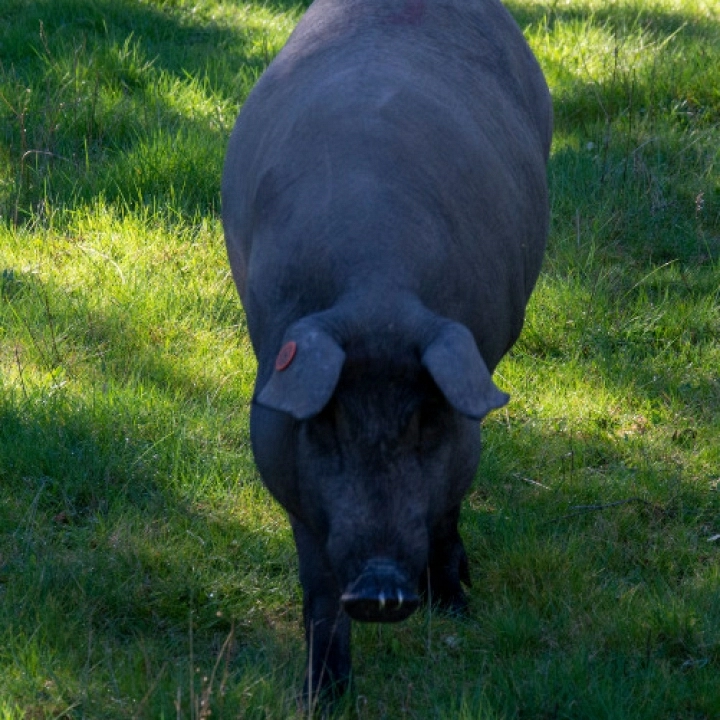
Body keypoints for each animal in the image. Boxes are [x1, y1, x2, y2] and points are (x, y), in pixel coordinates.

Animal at [219, 0, 552, 704]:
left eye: (427, 419)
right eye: (326, 423)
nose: (379, 586)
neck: (377, 295)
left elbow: (447, 508)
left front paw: (457, 607)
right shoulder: (281, 448)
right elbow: (318, 587)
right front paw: (325, 697)